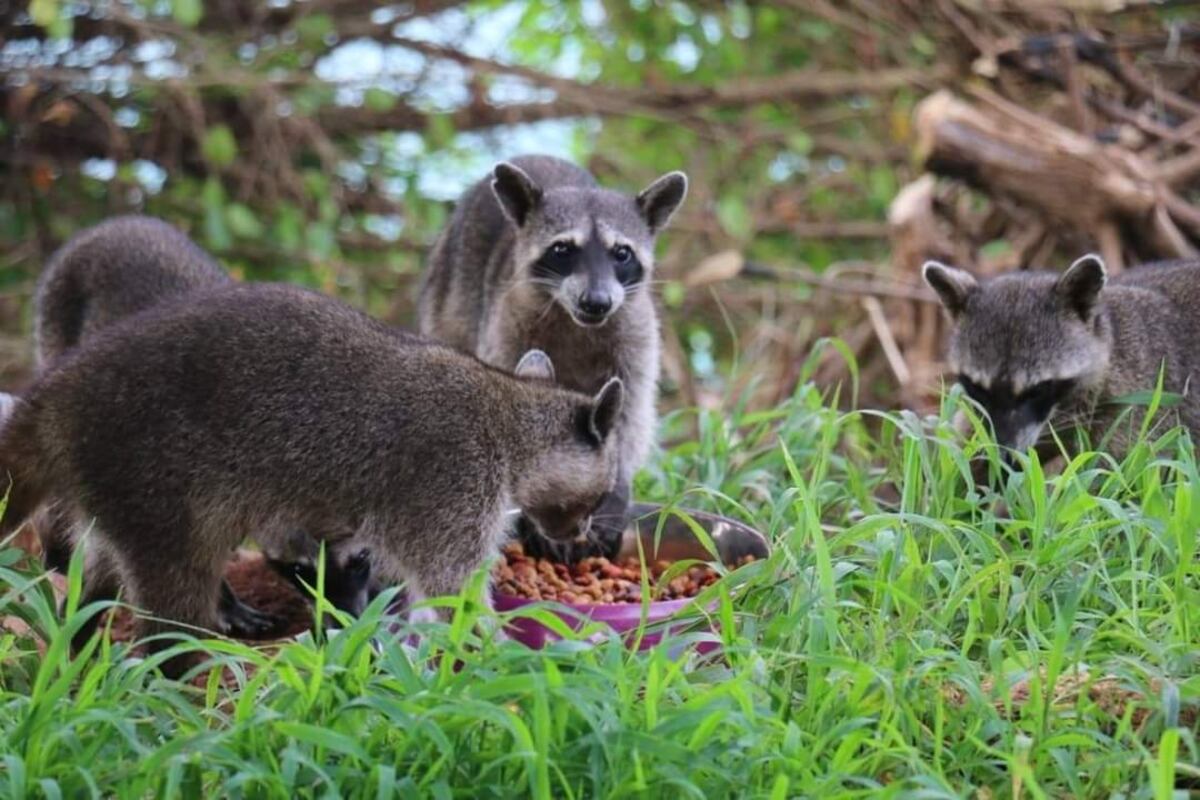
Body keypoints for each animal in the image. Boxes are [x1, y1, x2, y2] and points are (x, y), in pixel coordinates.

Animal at [0, 283, 619, 676]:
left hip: (116, 487)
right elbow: (454, 591)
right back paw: (177, 671)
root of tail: (55, 396)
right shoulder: (453, 479)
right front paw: (514, 655)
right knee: (176, 588)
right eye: (601, 494)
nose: (580, 533)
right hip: (152, 475)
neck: (512, 407)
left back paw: (82, 638)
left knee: (101, 573)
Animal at [420, 154, 686, 556]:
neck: (577, 322)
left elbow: (631, 414)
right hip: (449, 291)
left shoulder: (636, 333)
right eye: (562, 250)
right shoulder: (507, 327)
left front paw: (617, 489)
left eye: (621, 253)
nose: (596, 301)